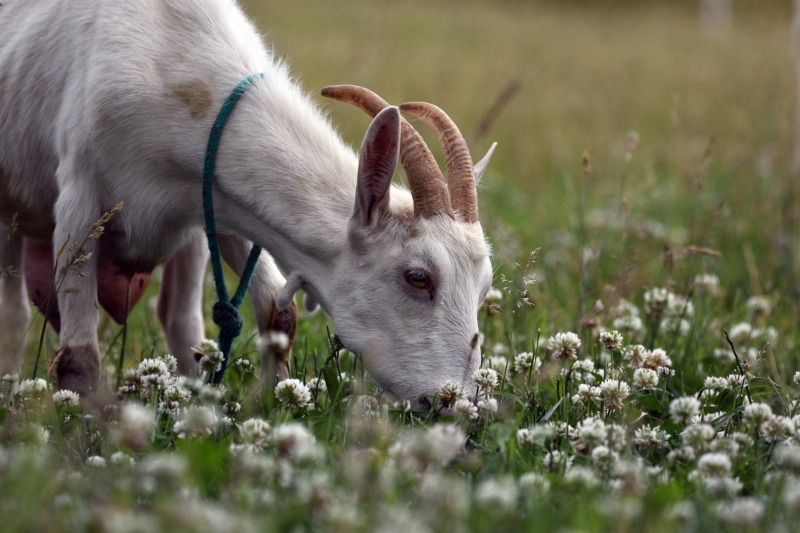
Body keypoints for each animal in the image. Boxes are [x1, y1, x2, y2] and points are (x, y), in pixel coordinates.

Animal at [0, 0, 494, 408]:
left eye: (485, 286)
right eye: (417, 277)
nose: (456, 403)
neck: (175, 67)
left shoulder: (217, 204)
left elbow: (279, 312)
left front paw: (272, 406)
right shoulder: (81, 204)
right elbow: (77, 361)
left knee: (179, 320)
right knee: (15, 315)